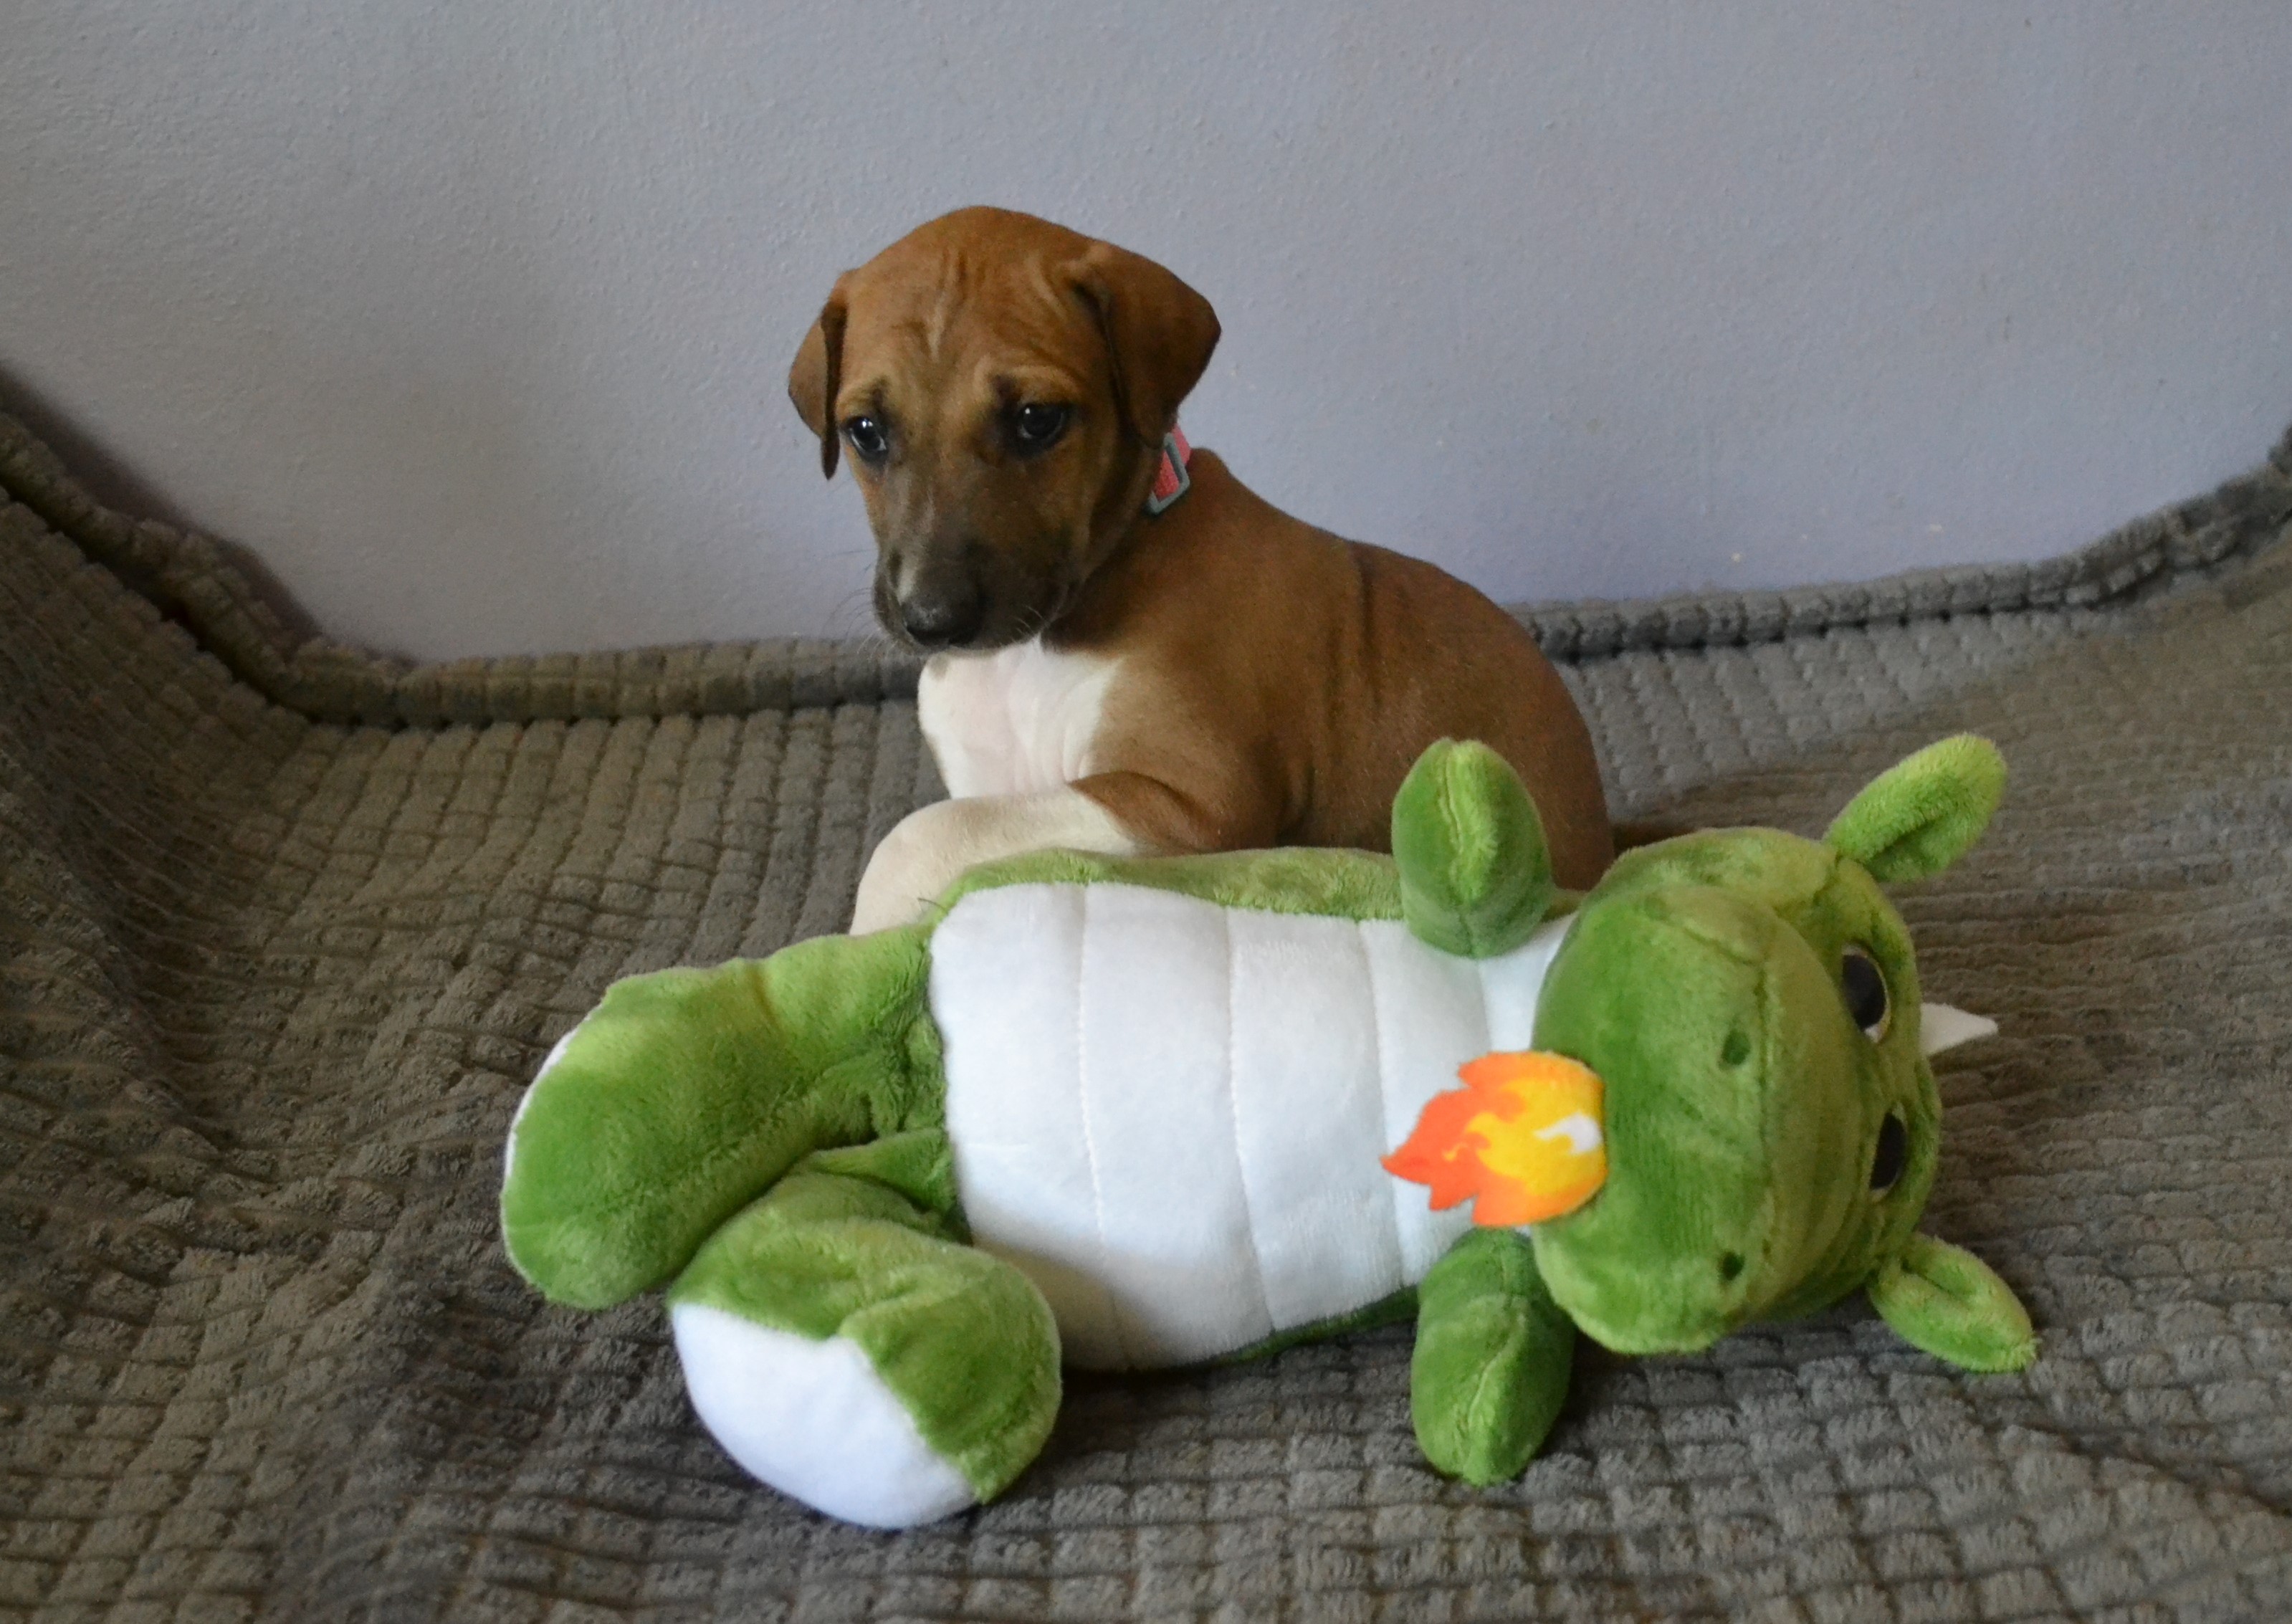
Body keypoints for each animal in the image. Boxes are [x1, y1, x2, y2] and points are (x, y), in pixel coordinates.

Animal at [789, 207, 1613, 932]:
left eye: (1035, 420)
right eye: (866, 432)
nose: (933, 620)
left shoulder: (1195, 805)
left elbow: (925, 832)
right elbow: (964, 817)